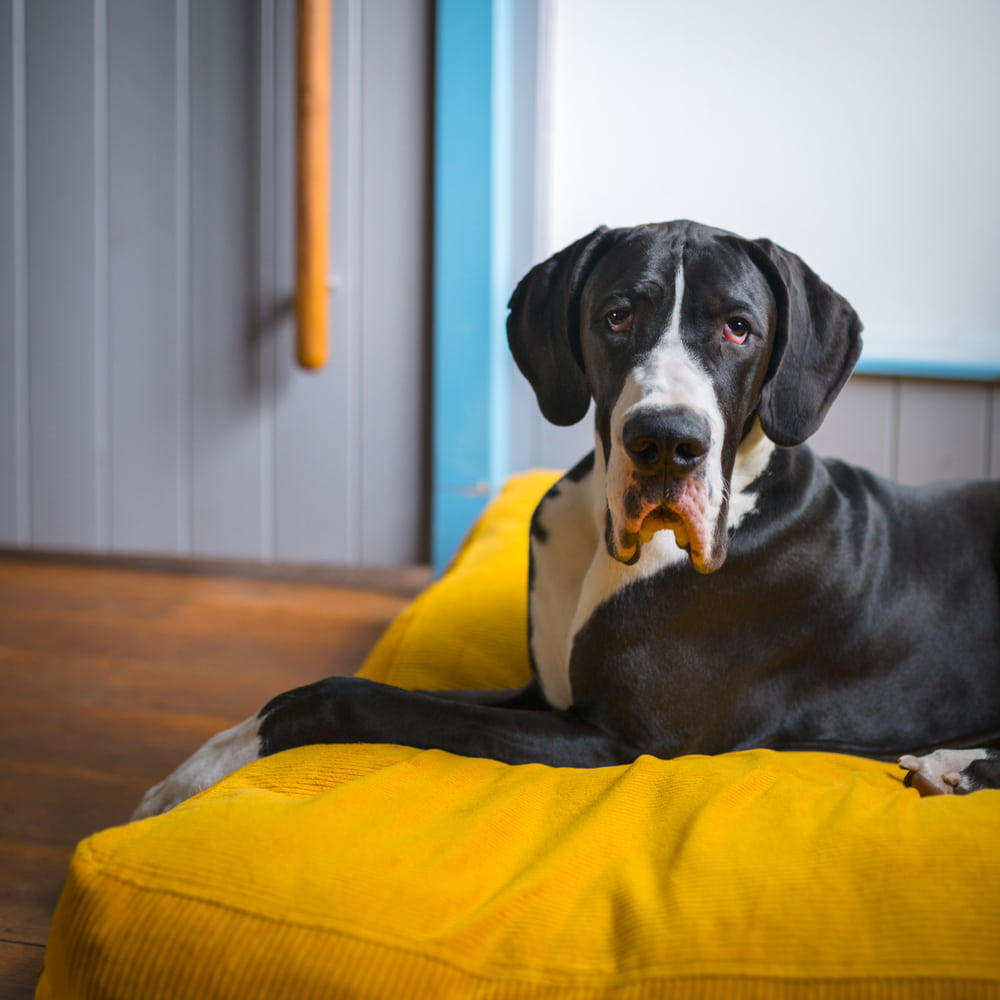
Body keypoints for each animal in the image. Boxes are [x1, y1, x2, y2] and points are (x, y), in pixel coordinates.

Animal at [135, 221, 1000, 820]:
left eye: (738, 327)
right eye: (617, 315)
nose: (666, 444)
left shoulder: (614, 738)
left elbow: (355, 696)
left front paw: (196, 773)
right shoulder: (543, 696)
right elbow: (357, 687)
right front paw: (205, 763)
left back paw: (953, 764)